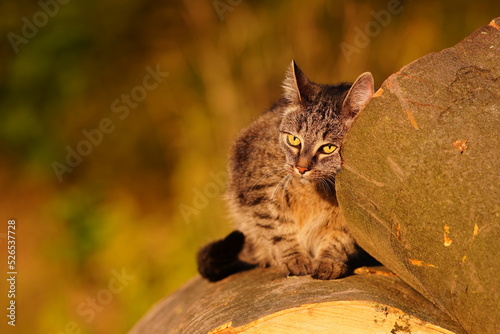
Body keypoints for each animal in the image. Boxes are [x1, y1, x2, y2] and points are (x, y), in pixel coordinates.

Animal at [197, 60, 376, 282]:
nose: (301, 168)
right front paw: (294, 258)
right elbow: (278, 229)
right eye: (294, 140)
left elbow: (339, 239)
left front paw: (329, 260)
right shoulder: (259, 191)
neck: (314, 190)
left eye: (328, 148)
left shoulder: (355, 215)